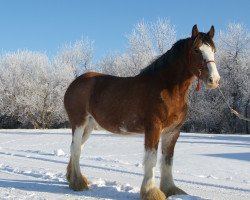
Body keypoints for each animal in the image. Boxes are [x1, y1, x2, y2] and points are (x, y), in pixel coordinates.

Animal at [64, 25, 221, 200]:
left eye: (213, 50)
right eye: (196, 50)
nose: (214, 80)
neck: (168, 89)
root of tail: (75, 83)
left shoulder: (173, 131)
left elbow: (167, 160)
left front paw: (170, 189)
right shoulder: (153, 128)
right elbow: (151, 159)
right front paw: (151, 192)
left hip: (89, 126)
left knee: (77, 147)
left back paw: (73, 178)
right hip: (79, 123)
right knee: (76, 149)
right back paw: (78, 183)